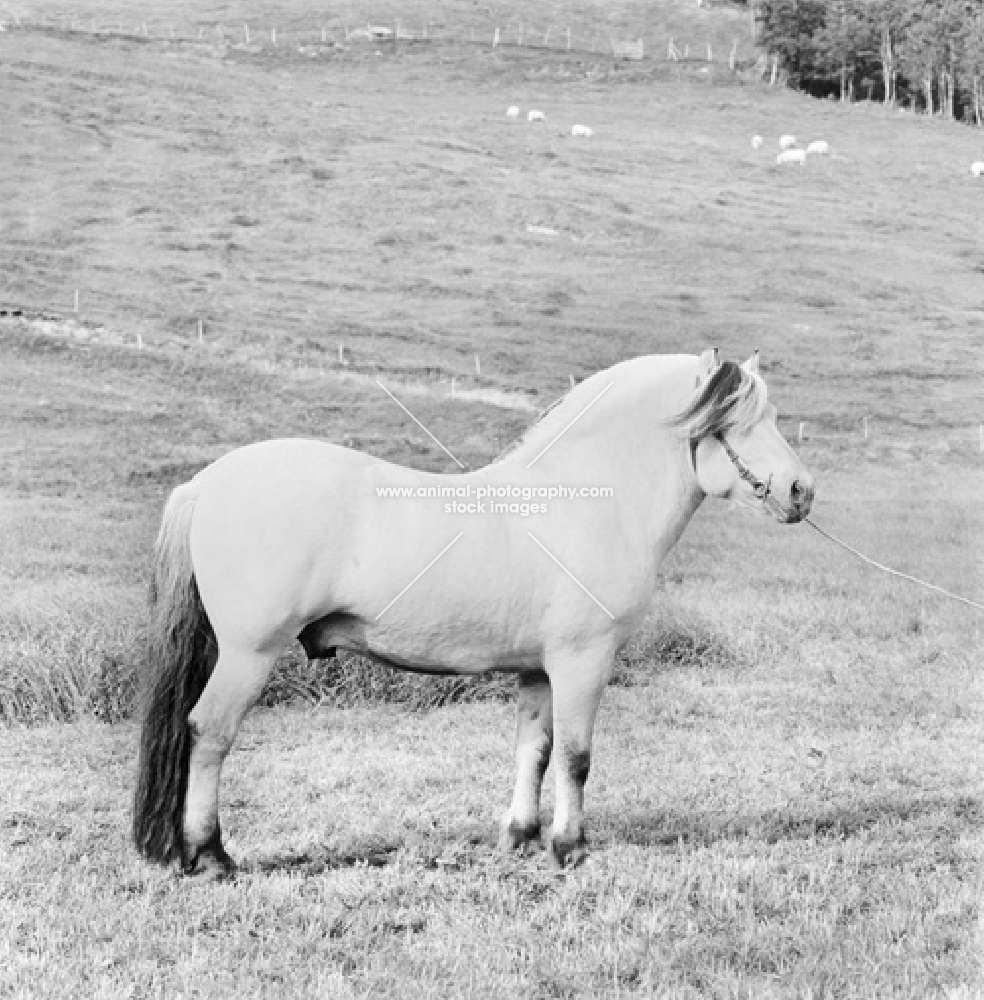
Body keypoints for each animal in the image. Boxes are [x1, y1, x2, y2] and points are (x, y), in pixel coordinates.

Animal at [133, 348, 816, 872]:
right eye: (743, 420)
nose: (801, 491)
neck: (580, 501)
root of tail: (207, 483)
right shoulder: (583, 662)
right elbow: (576, 755)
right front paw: (570, 848)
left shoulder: (539, 670)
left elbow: (534, 749)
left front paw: (522, 837)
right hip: (248, 655)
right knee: (209, 733)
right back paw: (211, 855)